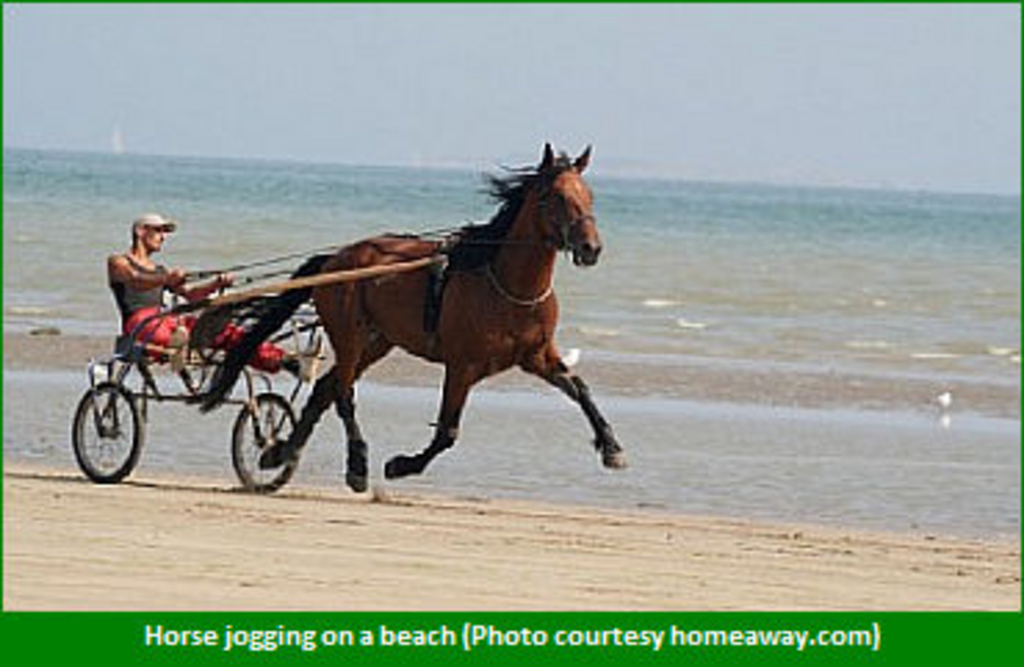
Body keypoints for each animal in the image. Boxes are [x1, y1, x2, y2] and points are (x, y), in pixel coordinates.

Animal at [201, 144, 622, 489]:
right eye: (555, 196)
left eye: (589, 195)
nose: (591, 248)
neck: (505, 285)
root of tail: (337, 258)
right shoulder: (462, 365)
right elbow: (448, 431)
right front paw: (402, 464)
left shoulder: (536, 356)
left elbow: (580, 389)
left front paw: (611, 446)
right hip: (349, 333)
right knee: (343, 394)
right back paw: (357, 464)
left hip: (378, 341)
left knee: (324, 389)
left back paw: (282, 452)